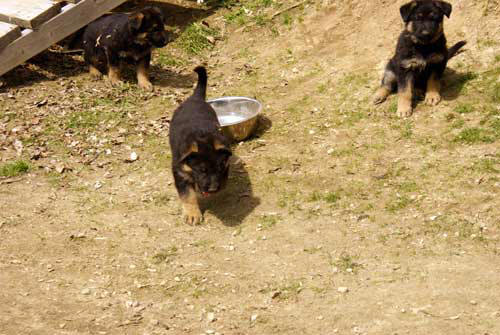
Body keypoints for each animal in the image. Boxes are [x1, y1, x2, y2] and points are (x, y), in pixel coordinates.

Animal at [168, 66, 230, 226]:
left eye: (220, 167)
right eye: (202, 170)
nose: (213, 189)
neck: (201, 135)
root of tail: (195, 98)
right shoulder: (180, 172)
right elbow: (188, 195)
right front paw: (192, 214)